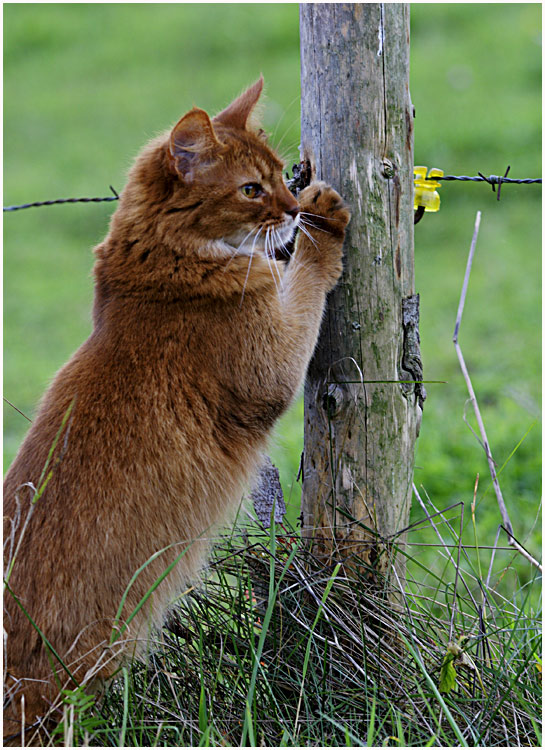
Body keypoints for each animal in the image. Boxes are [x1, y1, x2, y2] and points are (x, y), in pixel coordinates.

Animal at [3, 78, 348, 748]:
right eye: (252, 190)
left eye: (280, 175)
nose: (293, 207)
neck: (155, 269)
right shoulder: (272, 365)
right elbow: (305, 278)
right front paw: (325, 227)